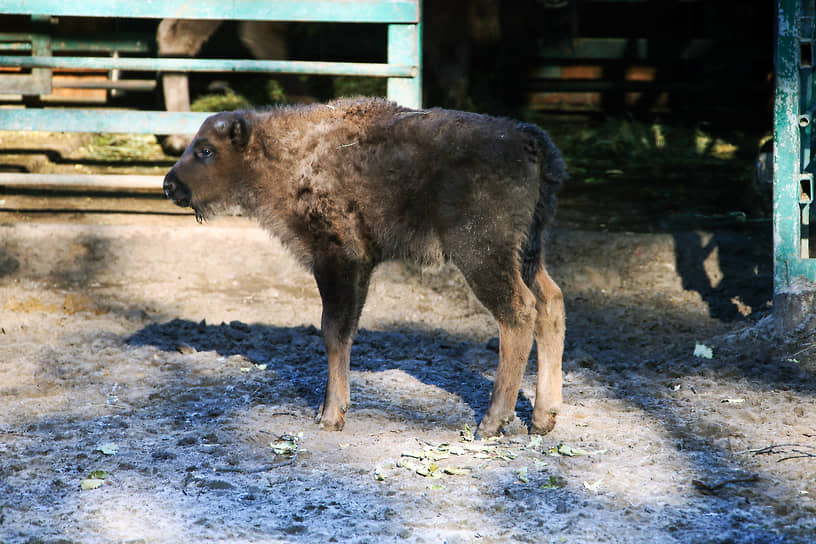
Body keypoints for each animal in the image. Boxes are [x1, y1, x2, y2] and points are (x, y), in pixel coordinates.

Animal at [160, 98, 568, 438]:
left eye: (206, 150)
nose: (169, 184)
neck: (287, 152)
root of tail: (528, 140)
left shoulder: (337, 260)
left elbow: (333, 331)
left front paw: (331, 415)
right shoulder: (358, 267)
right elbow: (345, 330)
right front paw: (329, 409)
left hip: (483, 256)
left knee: (518, 313)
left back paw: (492, 421)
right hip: (527, 255)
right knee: (550, 303)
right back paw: (543, 418)